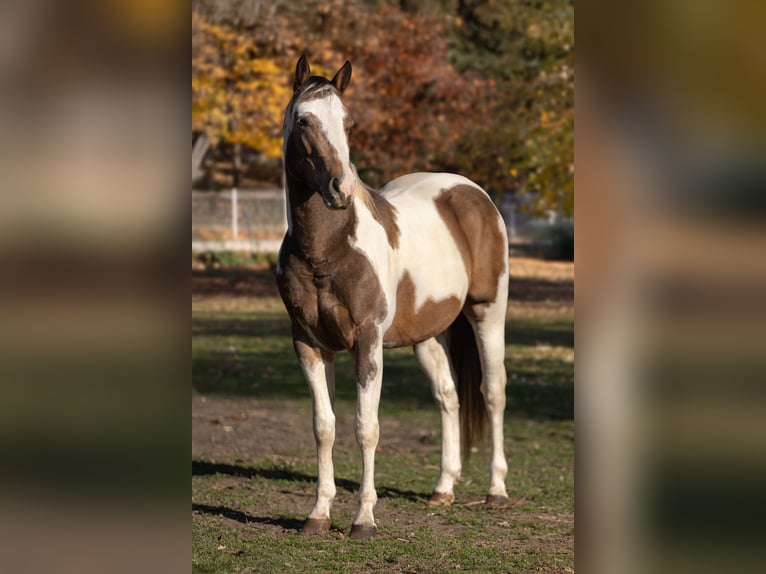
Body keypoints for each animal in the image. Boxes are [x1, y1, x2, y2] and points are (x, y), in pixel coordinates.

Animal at [276, 55, 510, 540]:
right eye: (304, 119)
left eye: (348, 121)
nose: (341, 189)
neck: (328, 250)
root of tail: (471, 192)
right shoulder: (308, 343)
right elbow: (323, 426)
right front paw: (318, 515)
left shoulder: (367, 341)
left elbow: (366, 426)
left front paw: (363, 519)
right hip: (428, 336)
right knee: (448, 396)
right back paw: (443, 489)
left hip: (488, 311)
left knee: (493, 390)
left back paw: (496, 491)